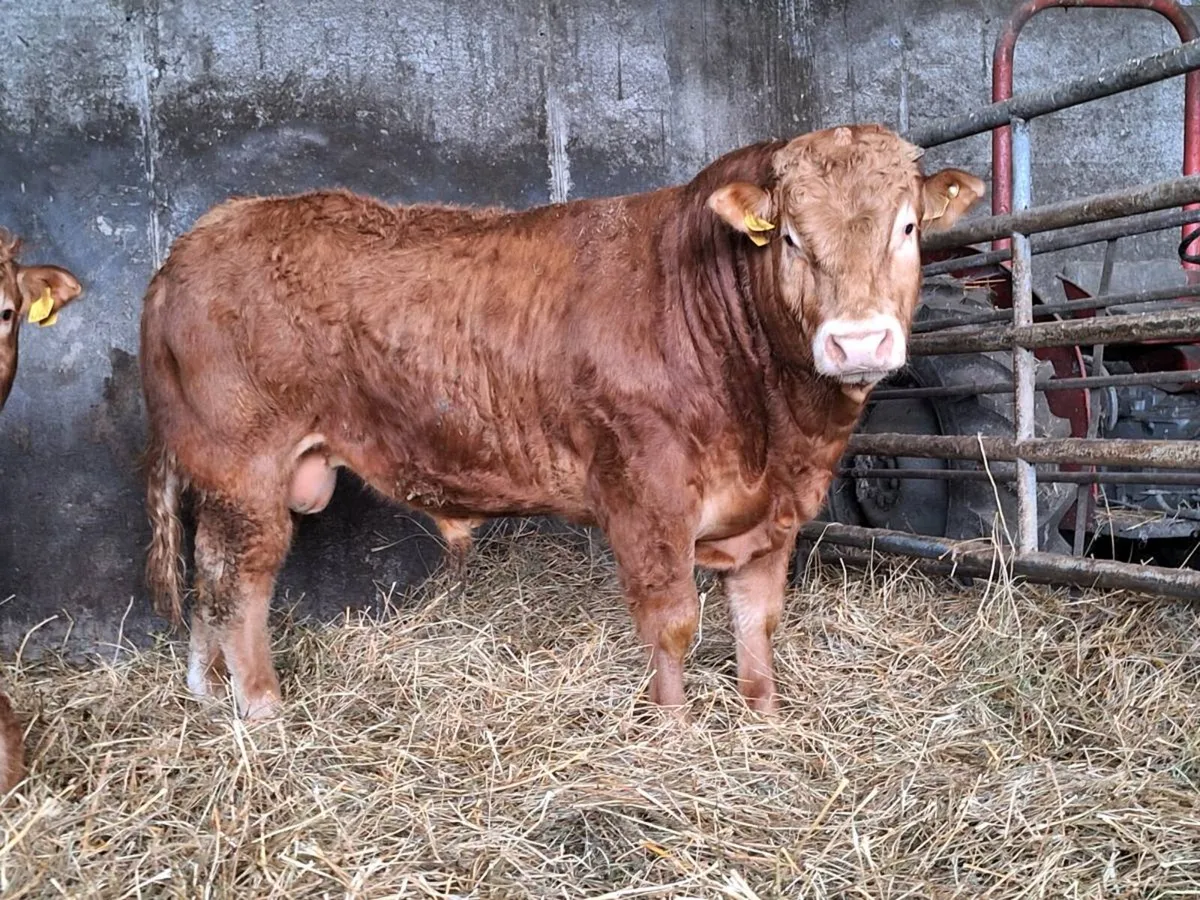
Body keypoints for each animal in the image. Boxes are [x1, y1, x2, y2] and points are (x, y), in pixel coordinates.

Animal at [140, 125, 983, 722]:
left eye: (908, 228)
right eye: (792, 239)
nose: (858, 342)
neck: (774, 430)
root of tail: (194, 241)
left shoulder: (770, 515)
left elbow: (757, 621)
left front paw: (764, 719)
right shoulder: (645, 495)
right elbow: (672, 623)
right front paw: (674, 731)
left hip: (222, 477)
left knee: (209, 570)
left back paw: (206, 691)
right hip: (247, 465)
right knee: (242, 583)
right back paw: (261, 709)